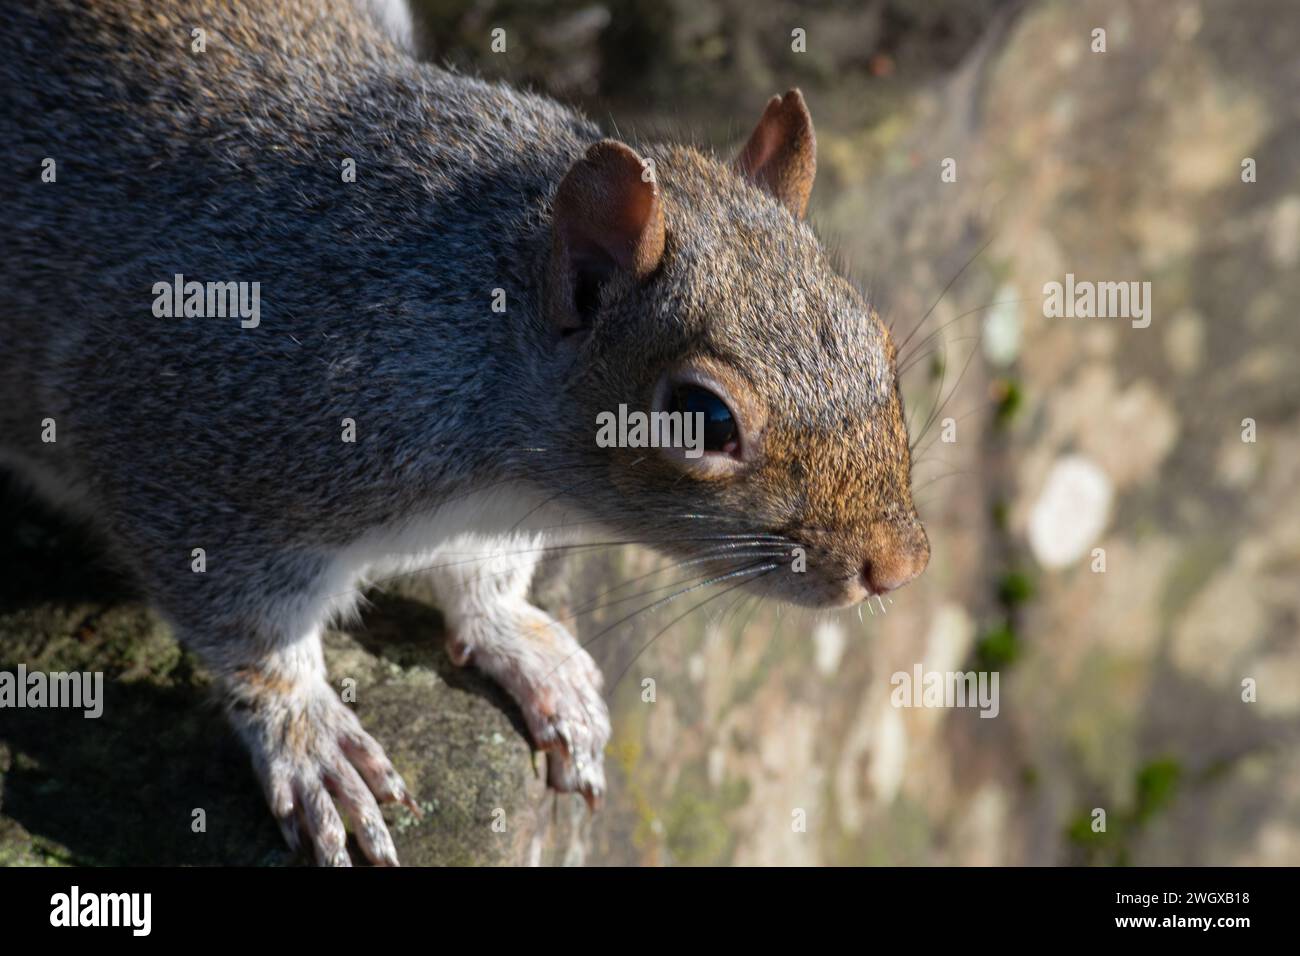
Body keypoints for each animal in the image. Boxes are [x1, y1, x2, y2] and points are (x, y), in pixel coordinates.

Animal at [5, 0, 930, 868]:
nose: (898, 567)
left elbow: (484, 580)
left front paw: (522, 643)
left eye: (880, 340)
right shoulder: (184, 423)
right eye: (704, 417)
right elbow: (251, 633)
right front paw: (310, 738)